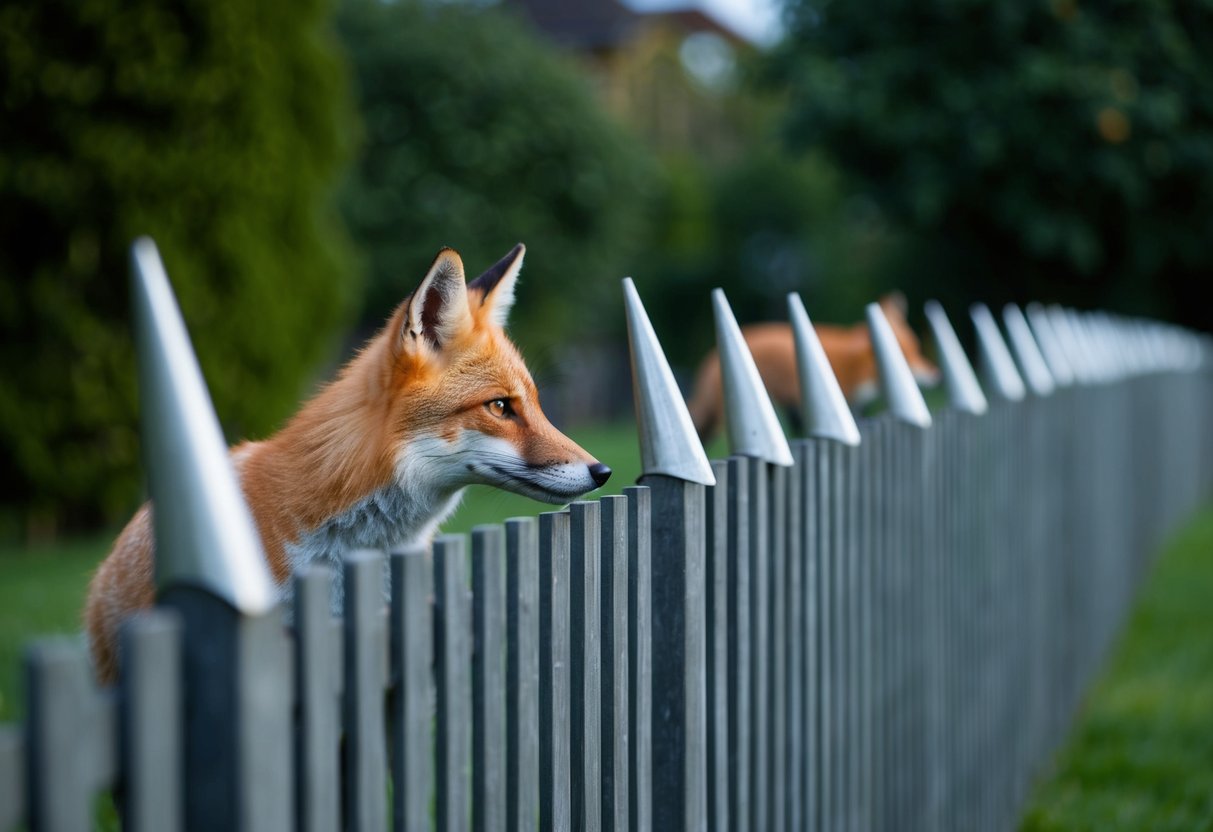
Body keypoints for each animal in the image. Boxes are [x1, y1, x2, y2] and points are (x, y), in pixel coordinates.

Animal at [687, 292, 940, 442]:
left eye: (918, 349)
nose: (936, 374)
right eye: (909, 357)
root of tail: (711, 357)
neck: (855, 367)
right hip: (725, 420)